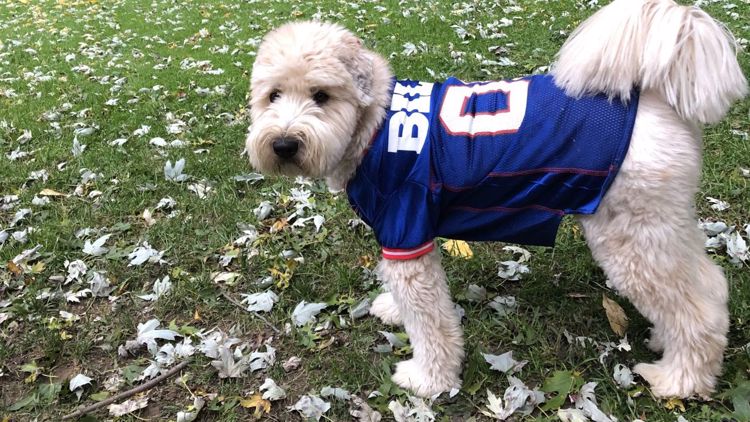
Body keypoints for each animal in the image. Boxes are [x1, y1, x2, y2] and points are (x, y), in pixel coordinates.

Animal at [245, 0, 748, 398]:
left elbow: (431, 323)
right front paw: (392, 310)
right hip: (661, 227)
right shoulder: (403, 239)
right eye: (273, 95)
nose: (284, 144)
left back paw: (679, 380)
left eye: (321, 96)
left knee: (697, 309)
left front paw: (429, 379)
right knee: (709, 284)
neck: (373, 128)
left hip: (632, 239)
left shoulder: (408, 233)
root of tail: (657, 101)